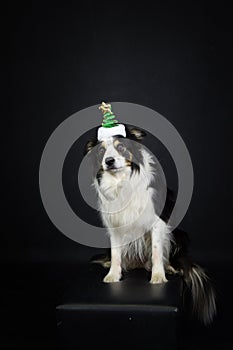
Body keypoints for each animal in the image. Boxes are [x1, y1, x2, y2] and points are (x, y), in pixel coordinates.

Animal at [84, 124, 217, 324]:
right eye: (101, 151)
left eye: (121, 147)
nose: (109, 161)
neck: (121, 180)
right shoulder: (114, 224)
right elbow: (115, 253)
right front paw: (113, 274)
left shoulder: (157, 221)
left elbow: (156, 251)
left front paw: (158, 276)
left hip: (179, 234)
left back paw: (168, 266)